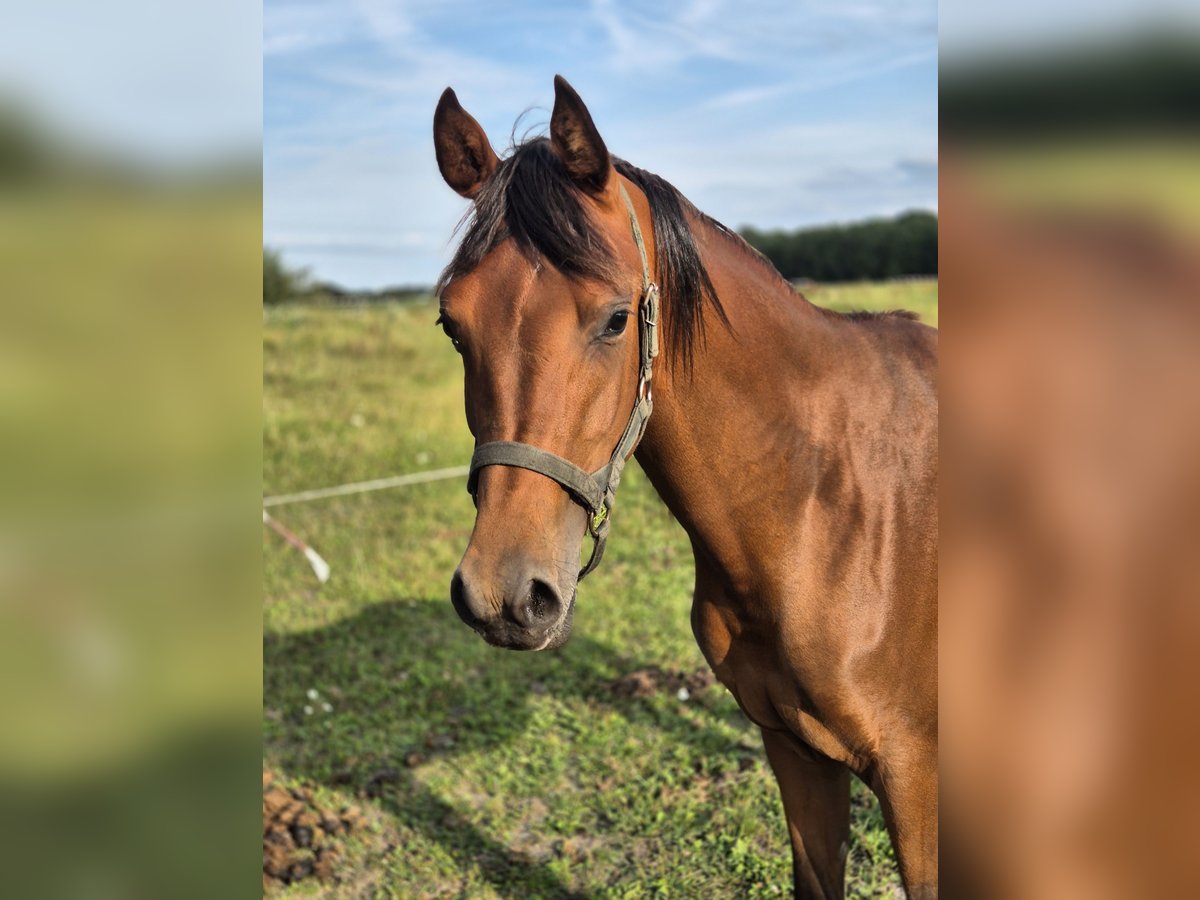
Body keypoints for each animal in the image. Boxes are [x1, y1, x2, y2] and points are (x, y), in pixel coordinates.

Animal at [432, 77, 936, 900]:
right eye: (452, 326)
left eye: (614, 320)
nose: (503, 596)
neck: (830, 510)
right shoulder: (795, 749)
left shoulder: (916, 775)